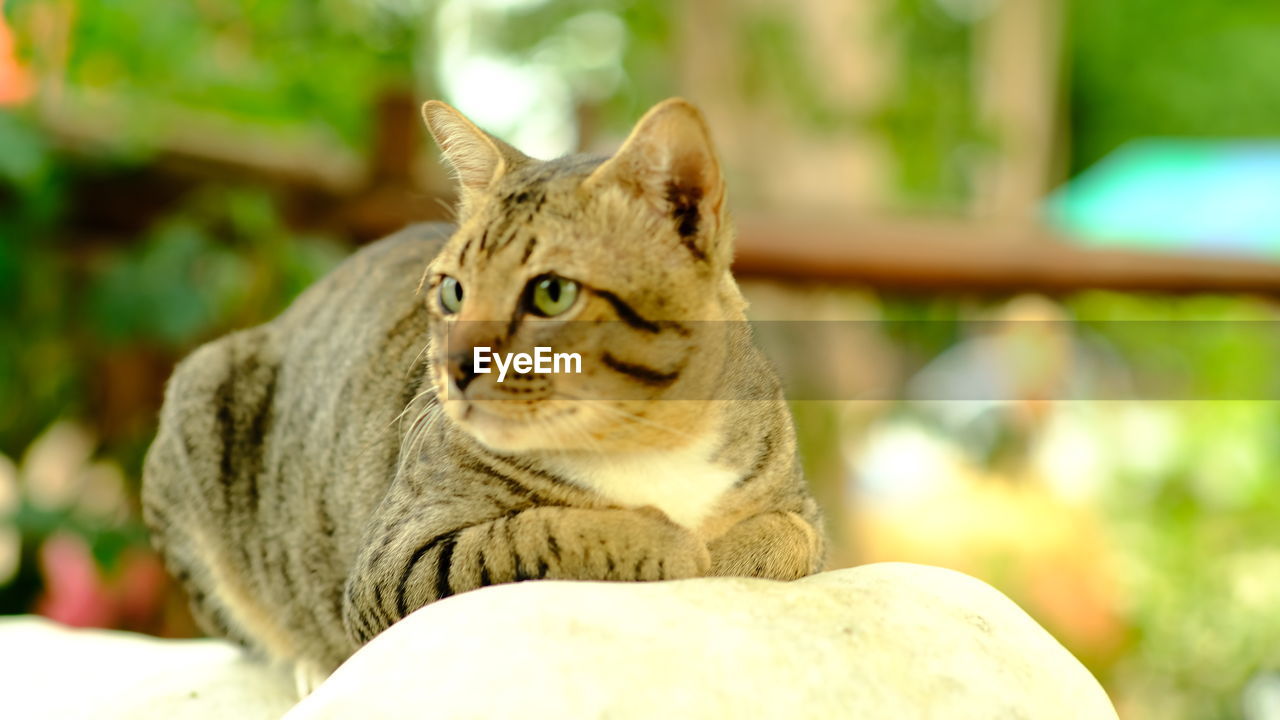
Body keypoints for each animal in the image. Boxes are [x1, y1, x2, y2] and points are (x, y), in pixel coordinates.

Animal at [137, 96, 819, 691]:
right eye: (452, 291)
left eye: (551, 293)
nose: (457, 369)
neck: (644, 439)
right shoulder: (392, 565)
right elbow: (533, 537)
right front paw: (670, 543)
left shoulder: (799, 505)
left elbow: (792, 538)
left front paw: (724, 548)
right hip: (200, 393)